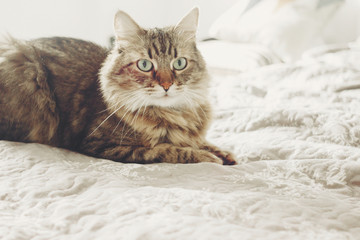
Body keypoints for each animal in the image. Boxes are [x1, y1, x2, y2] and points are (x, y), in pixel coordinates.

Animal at [0, 7, 236, 165]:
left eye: (179, 63)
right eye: (144, 65)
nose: (167, 84)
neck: (173, 115)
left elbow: (201, 142)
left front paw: (223, 153)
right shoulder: (103, 145)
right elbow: (169, 149)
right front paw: (208, 157)